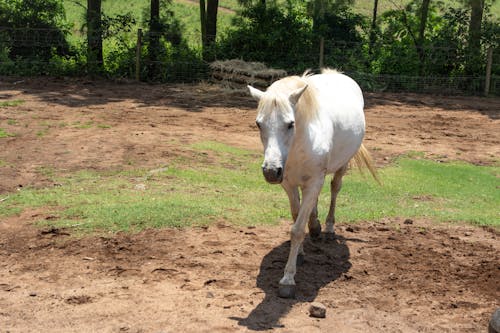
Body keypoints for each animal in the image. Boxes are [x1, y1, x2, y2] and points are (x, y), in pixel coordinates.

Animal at [248, 68, 376, 296]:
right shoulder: (288, 184)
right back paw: (315, 227)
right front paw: (300, 253)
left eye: (290, 124)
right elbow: (296, 217)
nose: (271, 171)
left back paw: (328, 228)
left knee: (334, 189)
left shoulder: (315, 180)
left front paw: (288, 279)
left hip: (341, 167)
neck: (298, 145)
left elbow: (297, 229)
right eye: (258, 124)